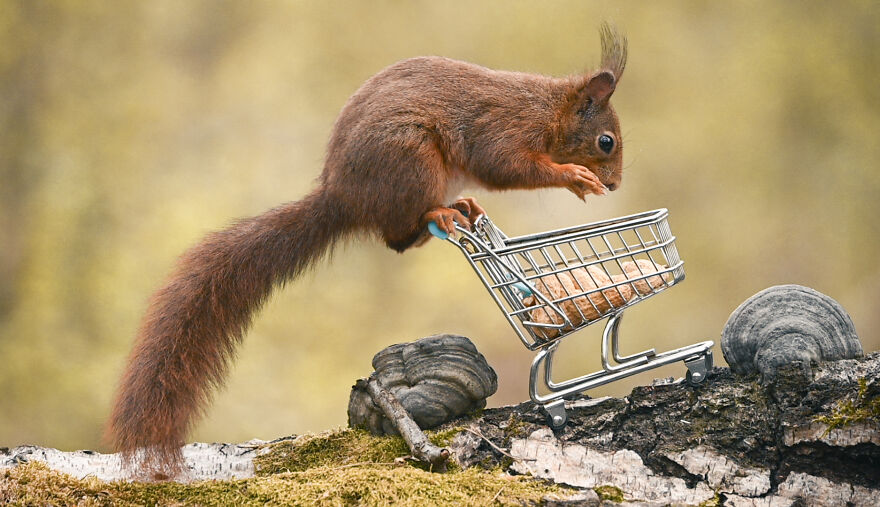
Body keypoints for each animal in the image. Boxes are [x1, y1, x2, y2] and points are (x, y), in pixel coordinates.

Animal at [107, 23, 627, 478]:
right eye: (606, 141)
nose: (616, 185)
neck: (547, 110)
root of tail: (343, 197)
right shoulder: (502, 128)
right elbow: (506, 165)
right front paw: (573, 177)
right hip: (412, 158)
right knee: (397, 238)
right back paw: (439, 216)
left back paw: (459, 205)